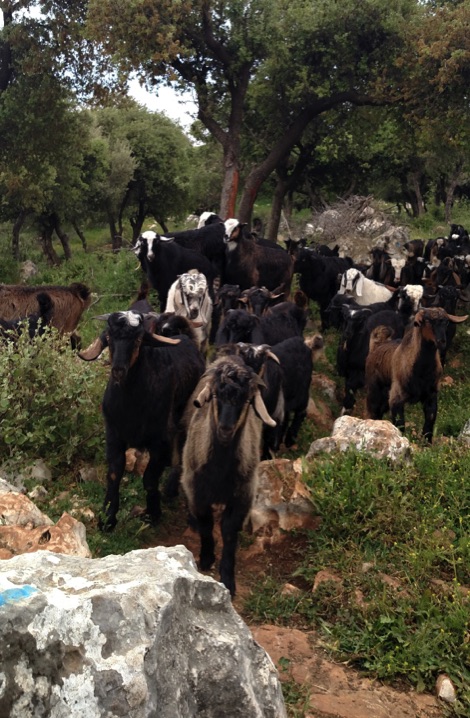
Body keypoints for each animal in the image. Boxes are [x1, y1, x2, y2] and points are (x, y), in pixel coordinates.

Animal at [79, 311, 206, 529]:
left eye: (138, 339)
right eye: (109, 337)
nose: (118, 370)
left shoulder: (160, 442)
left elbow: (149, 479)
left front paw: (152, 514)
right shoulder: (114, 435)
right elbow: (114, 474)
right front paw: (108, 519)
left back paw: (172, 489)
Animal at [181, 355, 276, 596]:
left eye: (247, 401)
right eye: (215, 395)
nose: (225, 428)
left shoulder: (242, 496)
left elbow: (229, 532)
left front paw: (228, 579)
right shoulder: (197, 490)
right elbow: (206, 524)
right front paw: (206, 558)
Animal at [365, 307, 468, 442]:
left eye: (446, 322)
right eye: (427, 321)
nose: (442, 342)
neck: (422, 371)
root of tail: (375, 348)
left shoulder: (431, 395)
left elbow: (430, 419)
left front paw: (427, 442)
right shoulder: (396, 397)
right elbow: (400, 423)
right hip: (374, 391)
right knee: (373, 412)